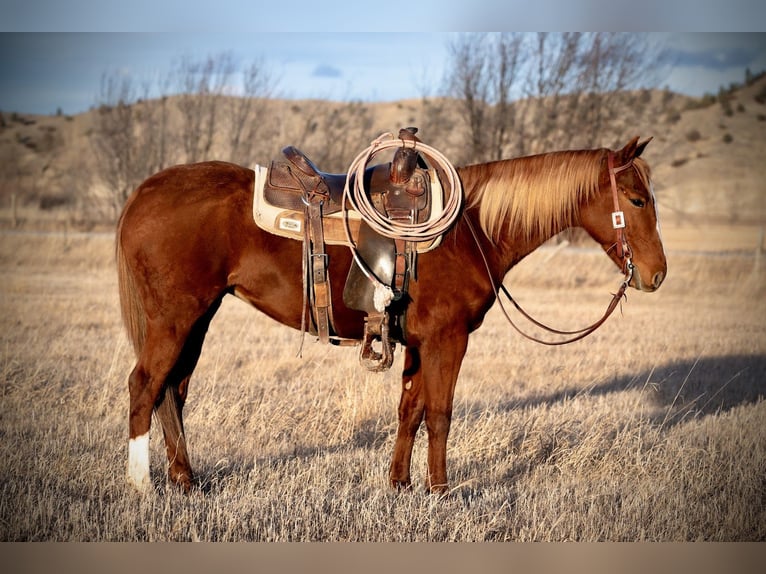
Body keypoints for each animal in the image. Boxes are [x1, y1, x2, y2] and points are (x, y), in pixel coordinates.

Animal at [116, 136, 666, 494]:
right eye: (637, 199)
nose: (657, 274)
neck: (471, 229)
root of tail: (145, 191)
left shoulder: (420, 343)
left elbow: (411, 410)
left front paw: (399, 484)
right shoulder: (448, 339)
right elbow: (440, 414)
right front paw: (441, 491)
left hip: (199, 318)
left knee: (173, 391)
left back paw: (186, 481)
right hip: (174, 319)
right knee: (145, 386)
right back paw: (143, 486)